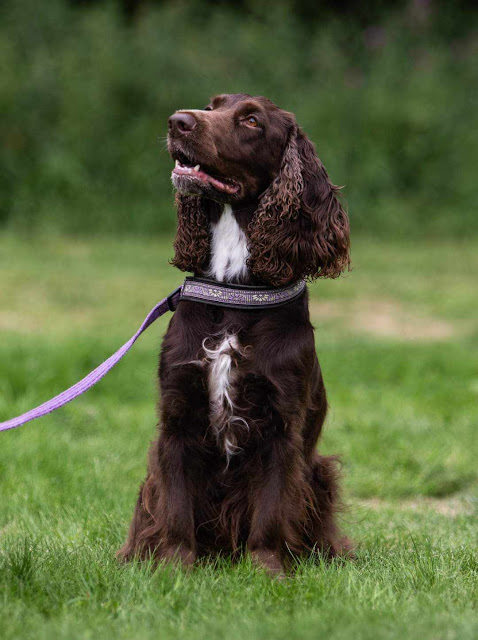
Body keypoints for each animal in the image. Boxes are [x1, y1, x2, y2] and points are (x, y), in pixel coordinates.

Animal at [118, 93, 352, 575]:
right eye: (212, 106)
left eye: (251, 121)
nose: (178, 121)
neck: (233, 289)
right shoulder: (178, 416)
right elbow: (175, 509)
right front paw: (173, 571)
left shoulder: (282, 424)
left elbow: (272, 510)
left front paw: (268, 572)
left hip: (319, 472)